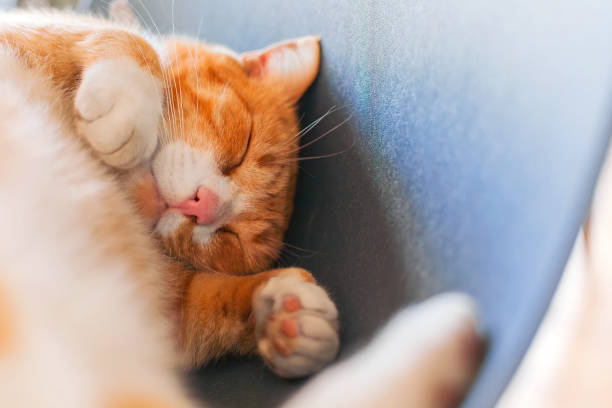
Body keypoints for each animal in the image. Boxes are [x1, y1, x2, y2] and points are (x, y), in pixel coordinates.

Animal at [0, 6, 486, 408]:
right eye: (243, 146)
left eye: (231, 240)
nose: (202, 206)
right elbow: (131, 41)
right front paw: (127, 109)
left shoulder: (161, 312)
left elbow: (211, 299)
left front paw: (290, 314)